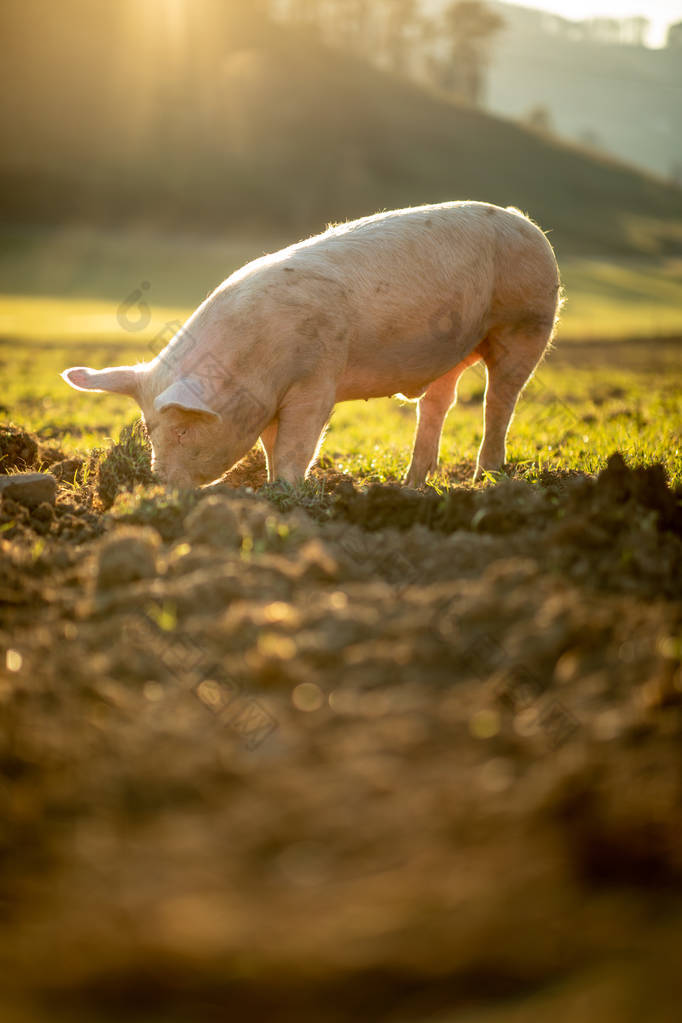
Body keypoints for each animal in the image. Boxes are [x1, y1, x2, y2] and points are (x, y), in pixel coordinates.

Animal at [61, 201, 560, 488]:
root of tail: (524, 222)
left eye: (183, 429)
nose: (160, 485)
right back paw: (411, 485)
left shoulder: (316, 379)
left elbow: (298, 443)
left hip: (527, 323)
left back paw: (486, 478)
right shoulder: (267, 401)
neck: (251, 363)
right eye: (149, 430)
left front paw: (284, 494)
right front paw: (266, 486)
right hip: (452, 354)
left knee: (499, 402)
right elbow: (269, 445)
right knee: (437, 405)